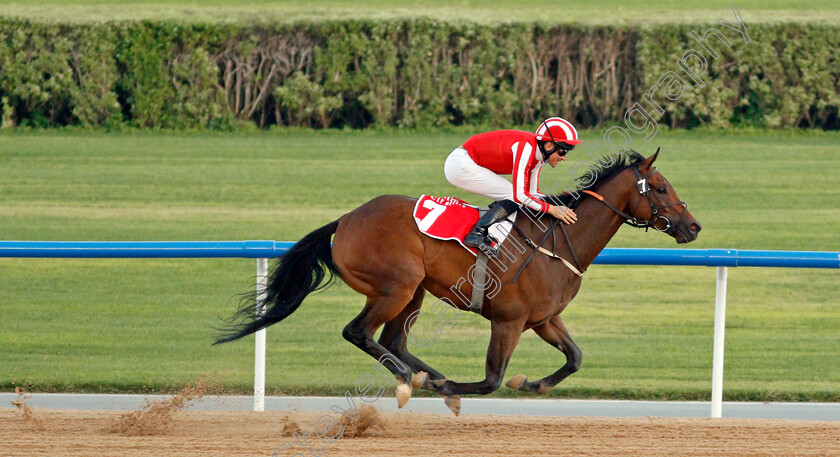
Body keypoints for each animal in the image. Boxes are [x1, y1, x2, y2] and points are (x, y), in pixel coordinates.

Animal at [217, 149, 704, 414]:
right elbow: (491, 379)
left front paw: (534, 384)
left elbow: (575, 358)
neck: (559, 242)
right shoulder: (508, 321)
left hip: (413, 291)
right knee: (358, 332)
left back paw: (427, 378)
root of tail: (347, 219)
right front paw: (463, 387)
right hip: (396, 285)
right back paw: (410, 381)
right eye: (661, 187)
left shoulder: (544, 319)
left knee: (393, 341)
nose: (694, 226)